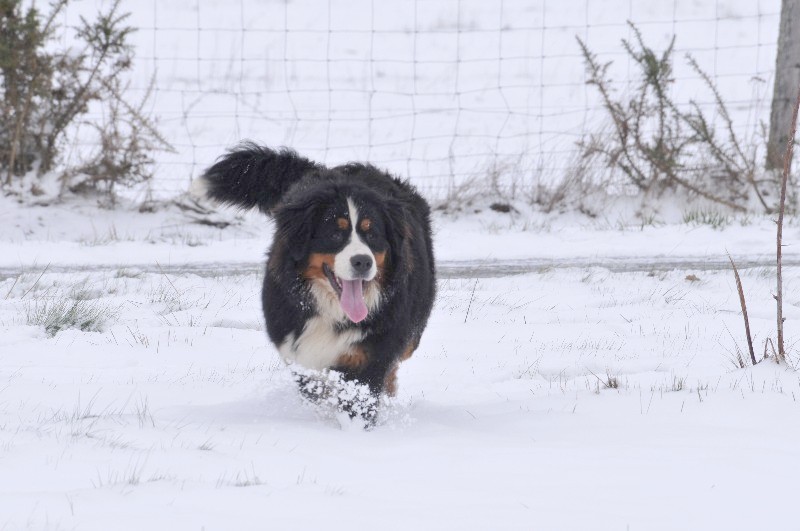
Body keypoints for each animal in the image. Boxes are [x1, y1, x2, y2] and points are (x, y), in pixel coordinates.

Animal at [200, 143, 438, 418]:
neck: (334, 313)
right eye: (335, 233)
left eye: (372, 234)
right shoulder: (300, 353)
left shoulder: (368, 356)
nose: (363, 261)